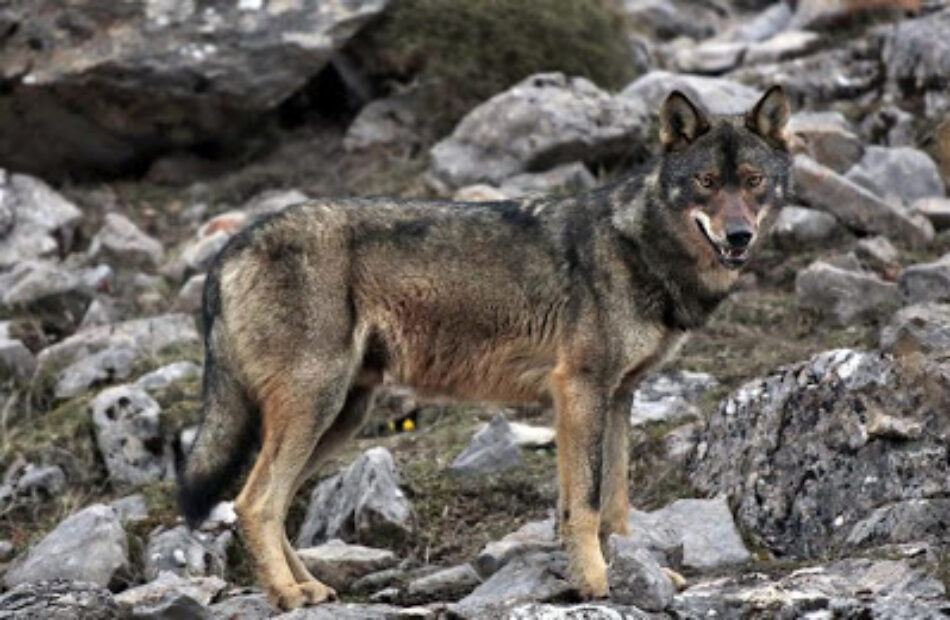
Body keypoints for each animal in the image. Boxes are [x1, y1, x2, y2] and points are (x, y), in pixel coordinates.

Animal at [175, 85, 792, 608]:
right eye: (707, 181)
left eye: (753, 180)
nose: (739, 236)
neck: (638, 248)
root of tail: (228, 250)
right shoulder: (579, 391)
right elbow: (585, 505)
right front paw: (595, 581)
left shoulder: (619, 397)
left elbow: (616, 505)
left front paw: (641, 572)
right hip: (316, 407)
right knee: (255, 503)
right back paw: (288, 595)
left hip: (340, 417)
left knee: (271, 506)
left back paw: (309, 587)